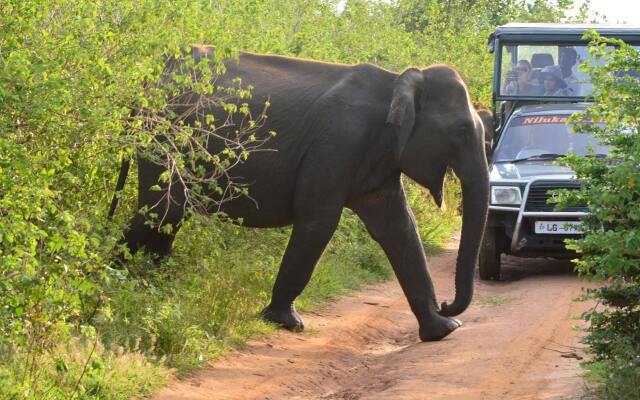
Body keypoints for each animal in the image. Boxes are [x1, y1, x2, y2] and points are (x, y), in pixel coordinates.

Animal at [117, 46, 490, 340]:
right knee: (163, 211)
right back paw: (124, 282)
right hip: (165, 138)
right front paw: (286, 322)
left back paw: (151, 286)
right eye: (461, 130)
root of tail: (149, 81)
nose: (447, 302)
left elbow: (399, 227)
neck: (398, 80)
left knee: (167, 218)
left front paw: (444, 330)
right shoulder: (339, 141)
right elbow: (319, 222)